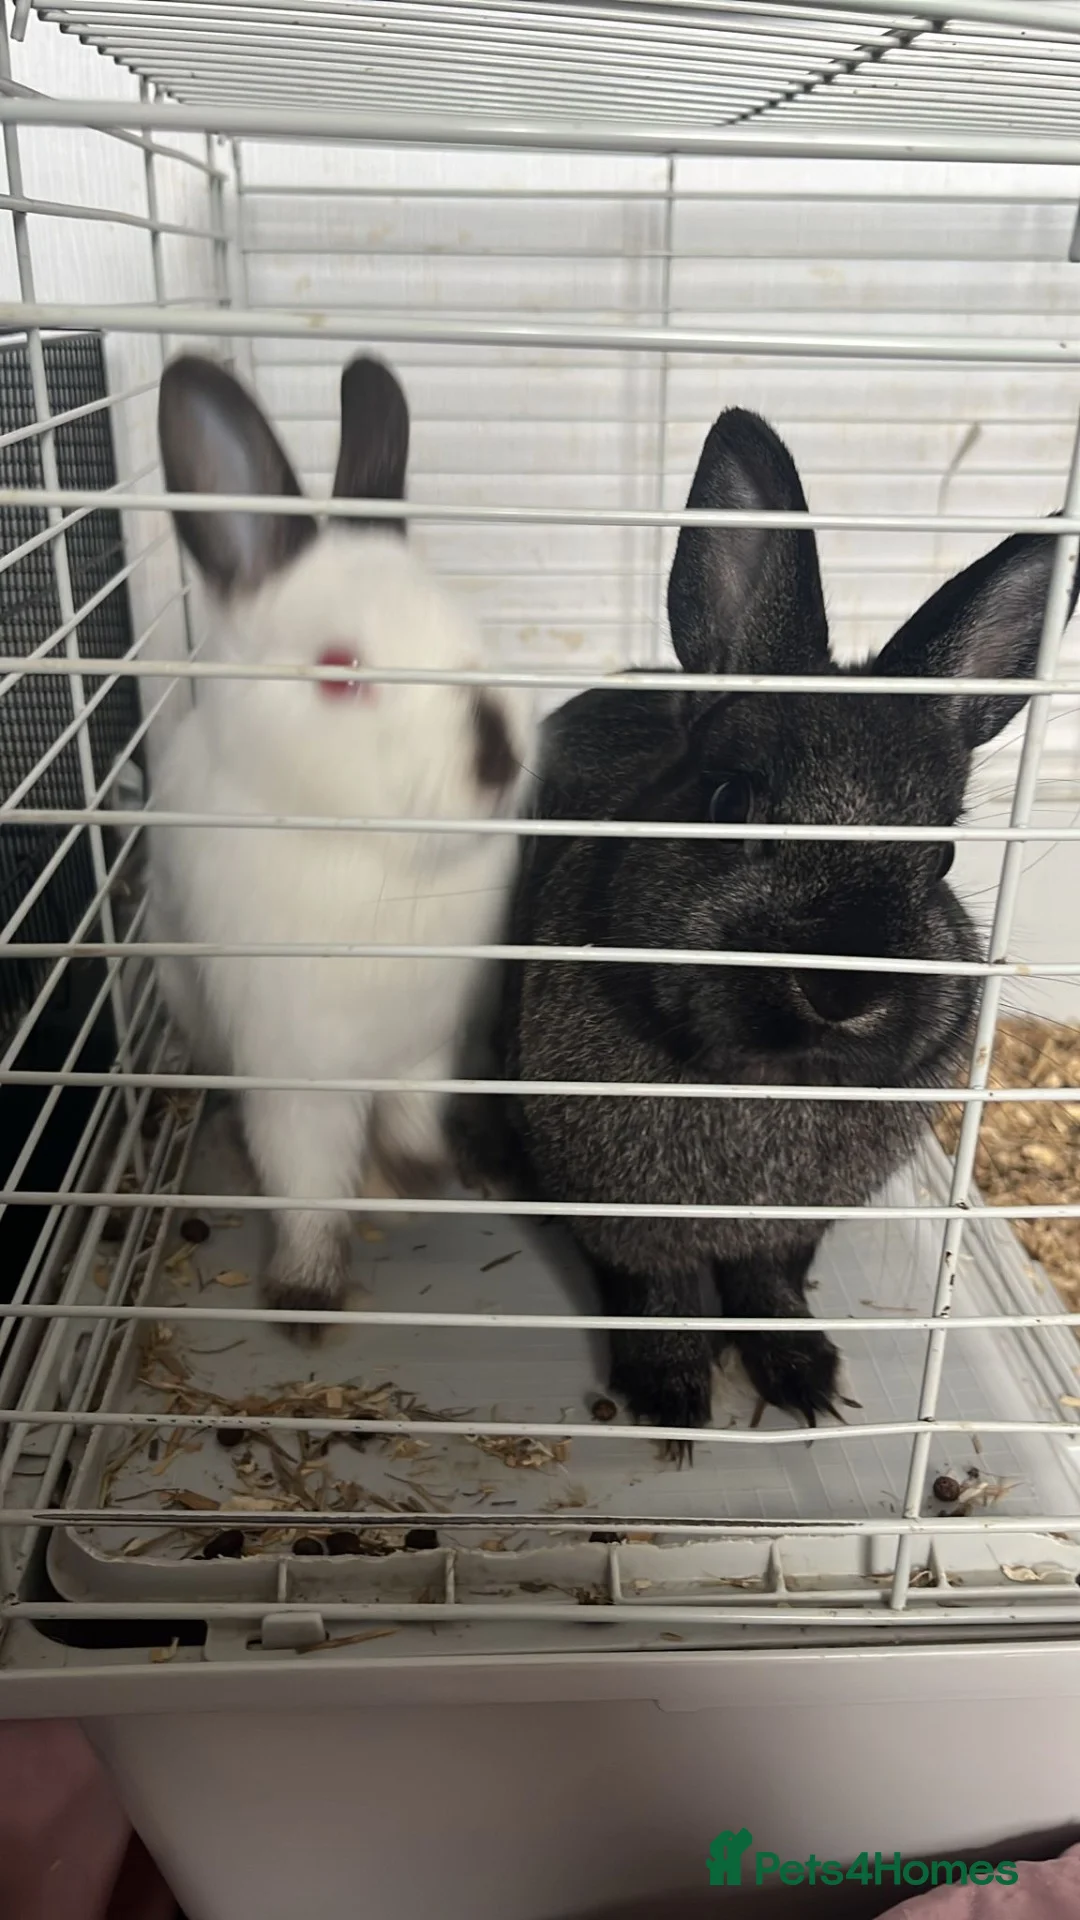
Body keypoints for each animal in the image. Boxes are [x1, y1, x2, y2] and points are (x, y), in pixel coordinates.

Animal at [147, 351, 530, 1323]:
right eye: (338, 671)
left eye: (466, 626)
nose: (500, 754)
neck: (378, 860)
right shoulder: (293, 1068)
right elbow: (307, 1177)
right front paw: (307, 1294)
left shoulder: (425, 1044)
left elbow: (415, 1117)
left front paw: (420, 1173)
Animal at [451, 404, 1079, 1445]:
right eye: (729, 802)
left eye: (943, 859)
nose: (842, 987)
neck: (764, 1079)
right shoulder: (623, 1216)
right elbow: (656, 1293)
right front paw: (671, 1397)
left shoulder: (790, 1231)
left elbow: (767, 1285)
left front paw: (805, 1378)